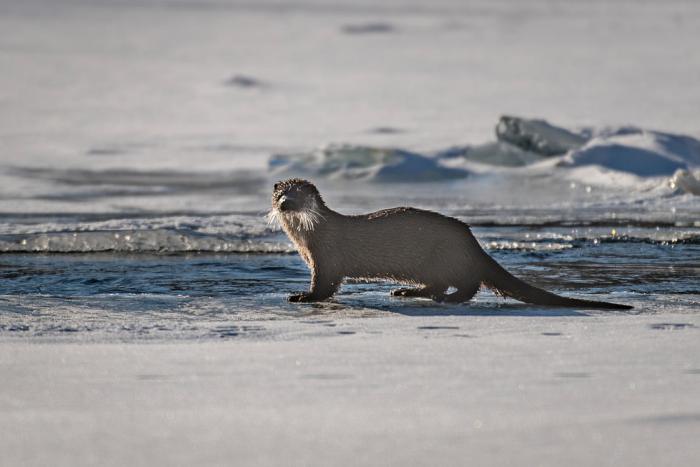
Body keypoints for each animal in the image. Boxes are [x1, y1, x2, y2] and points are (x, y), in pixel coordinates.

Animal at [268, 177, 628, 308]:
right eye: (280, 193)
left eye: (298, 194)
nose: (285, 203)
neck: (307, 238)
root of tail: (471, 241)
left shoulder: (325, 257)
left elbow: (326, 284)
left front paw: (302, 296)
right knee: (439, 283)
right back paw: (406, 292)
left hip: (443, 256)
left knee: (469, 284)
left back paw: (448, 299)